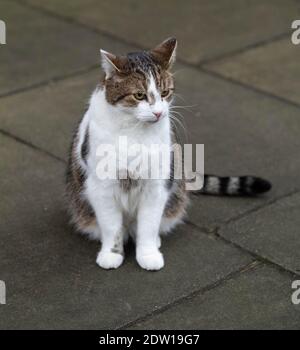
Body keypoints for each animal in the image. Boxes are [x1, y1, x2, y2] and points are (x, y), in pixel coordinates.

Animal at [66, 37, 272, 270]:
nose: (158, 113)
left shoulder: (157, 185)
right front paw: (112, 254)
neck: (134, 131)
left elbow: (148, 225)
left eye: (165, 93)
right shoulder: (102, 187)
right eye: (139, 95)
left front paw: (148, 254)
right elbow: (112, 227)